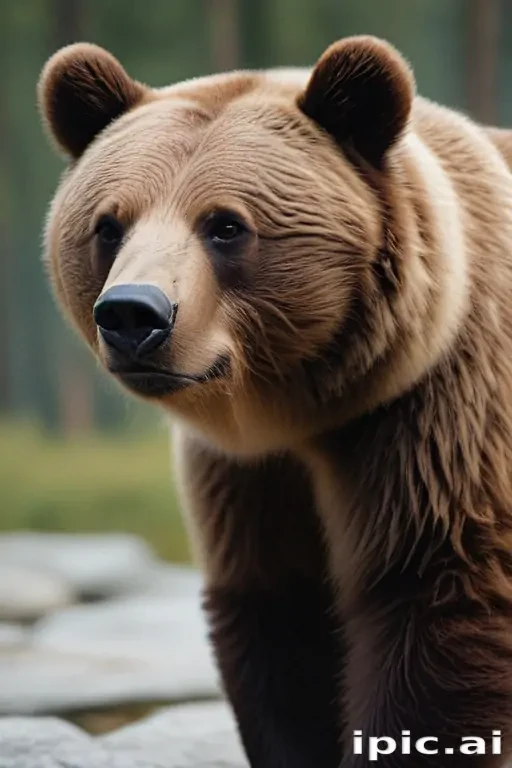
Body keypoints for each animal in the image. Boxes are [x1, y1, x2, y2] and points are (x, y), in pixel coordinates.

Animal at [37, 35, 512, 768]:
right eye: (109, 225)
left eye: (226, 226)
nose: (132, 315)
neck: (300, 407)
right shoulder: (248, 475)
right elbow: (283, 626)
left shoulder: (433, 418)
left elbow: (432, 605)